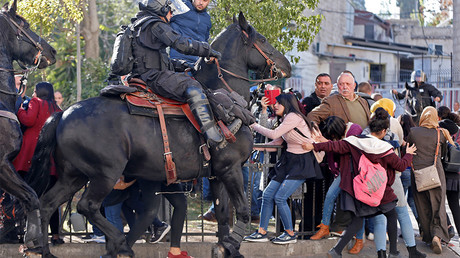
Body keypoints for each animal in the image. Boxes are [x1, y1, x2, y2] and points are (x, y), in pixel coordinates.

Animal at [27, 12, 290, 258]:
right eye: (262, 39)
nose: (286, 65)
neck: (225, 98)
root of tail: (63, 113)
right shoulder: (231, 169)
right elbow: (242, 212)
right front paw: (232, 245)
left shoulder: (217, 174)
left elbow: (224, 216)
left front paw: (225, 247)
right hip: (104, 174)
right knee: (87, 206)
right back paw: (120, 243)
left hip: (74, 176)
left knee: (46, 204)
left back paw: (46, 250)